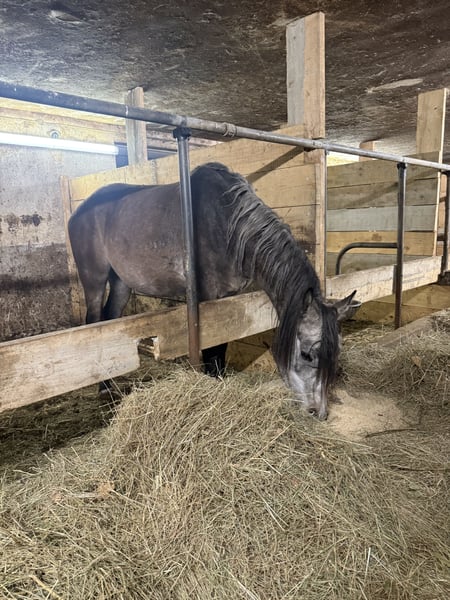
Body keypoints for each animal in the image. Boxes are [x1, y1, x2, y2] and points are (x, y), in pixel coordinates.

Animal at [68, 162, 359, 420]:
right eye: (307, 354)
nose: (319, 413)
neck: (228, 224)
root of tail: (79, 211)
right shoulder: (208, 298)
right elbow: (212, 350)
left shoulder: (228, 298)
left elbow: (223, 344)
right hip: (94, 279)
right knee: (94, 321)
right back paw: (104, 388)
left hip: (121, 282)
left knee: (111, 319)